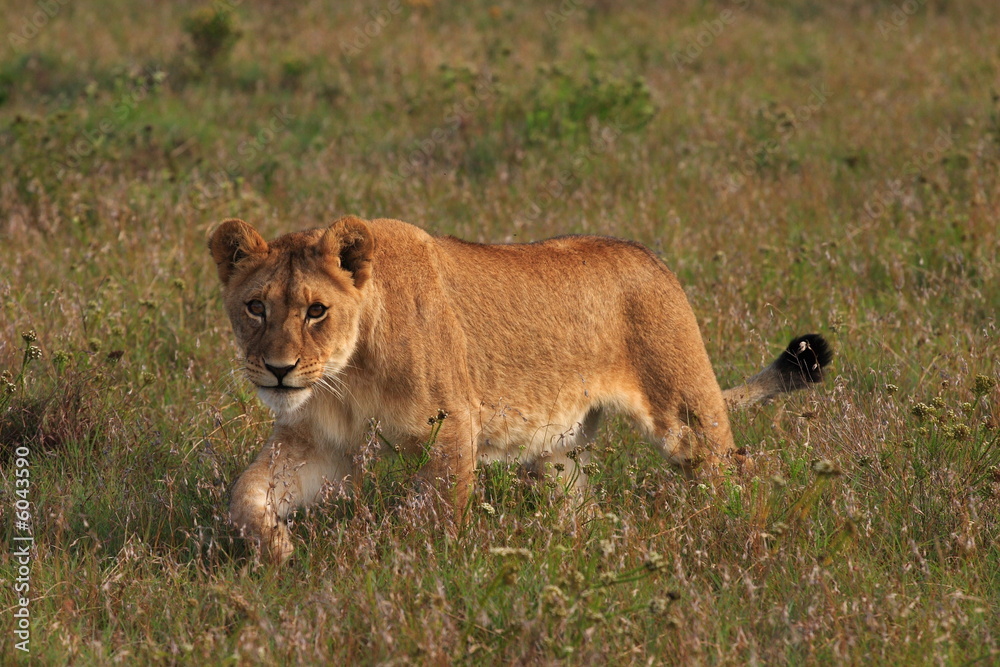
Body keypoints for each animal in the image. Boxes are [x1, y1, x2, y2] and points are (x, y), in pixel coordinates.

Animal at [209, 216, 831, 563]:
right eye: (255, 307)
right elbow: (245, 496)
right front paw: (278, 551)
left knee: (734, 467)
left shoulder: (451, 429)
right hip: (558, 454)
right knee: (580, 503)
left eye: (316, 310)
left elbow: (435, 520)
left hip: (685, 413)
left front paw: (413, 573)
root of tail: (653, 259)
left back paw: (735, 533)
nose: (279, 370)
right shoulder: (317, 445)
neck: (345, 377)